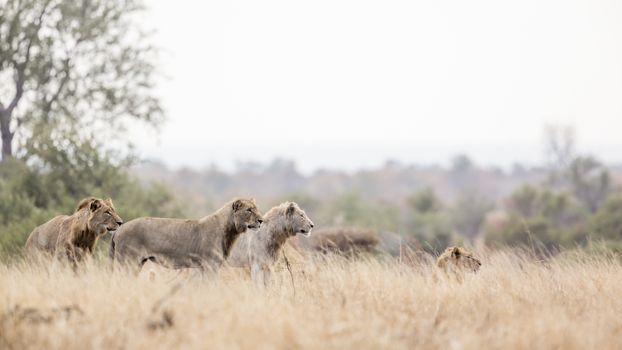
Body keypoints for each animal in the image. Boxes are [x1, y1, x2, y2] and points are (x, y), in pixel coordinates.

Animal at [112, 198, 264, 272]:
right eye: (249, 210)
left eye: (256, 209)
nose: (261, 220)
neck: (231, 231)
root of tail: (119, 229)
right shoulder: (210, 264)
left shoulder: (205, 266)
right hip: (128, 262)